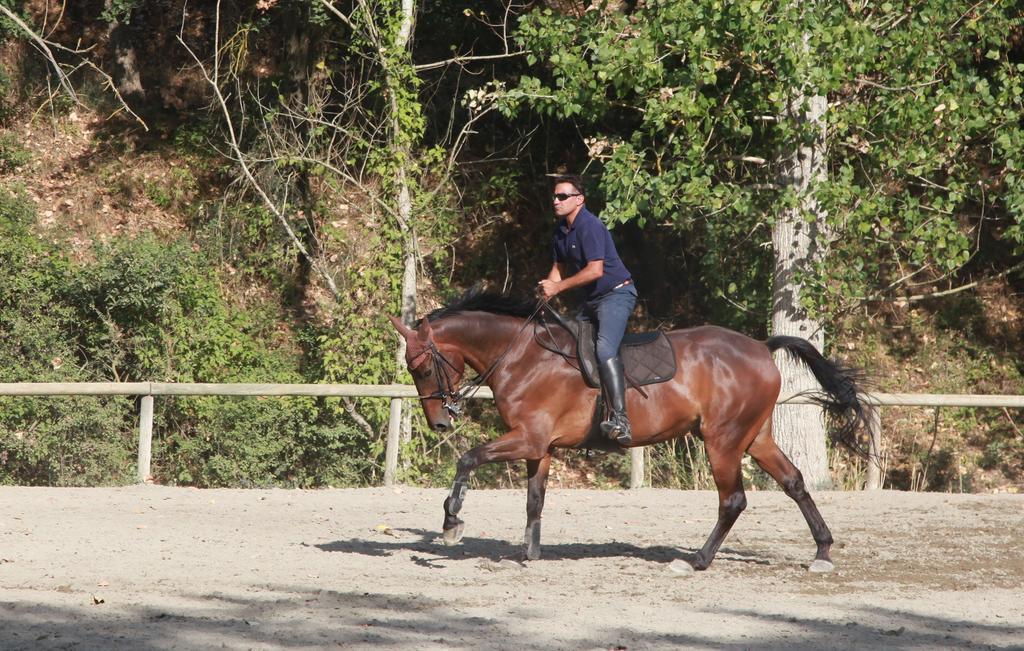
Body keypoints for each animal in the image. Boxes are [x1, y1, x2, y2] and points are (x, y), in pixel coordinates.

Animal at [387, 290, 868, 569]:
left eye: (422, 367)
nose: (440, 421)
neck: (521, 355)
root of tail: (761, 346)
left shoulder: (528, 438)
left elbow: (467, 459)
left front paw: (452, 521)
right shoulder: (539, 446)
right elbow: (534, 500)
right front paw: (529, 554)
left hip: (723, 440)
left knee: (733, 500)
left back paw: (697, 559)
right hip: (756, 437)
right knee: (794, 482)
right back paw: (822, 550)